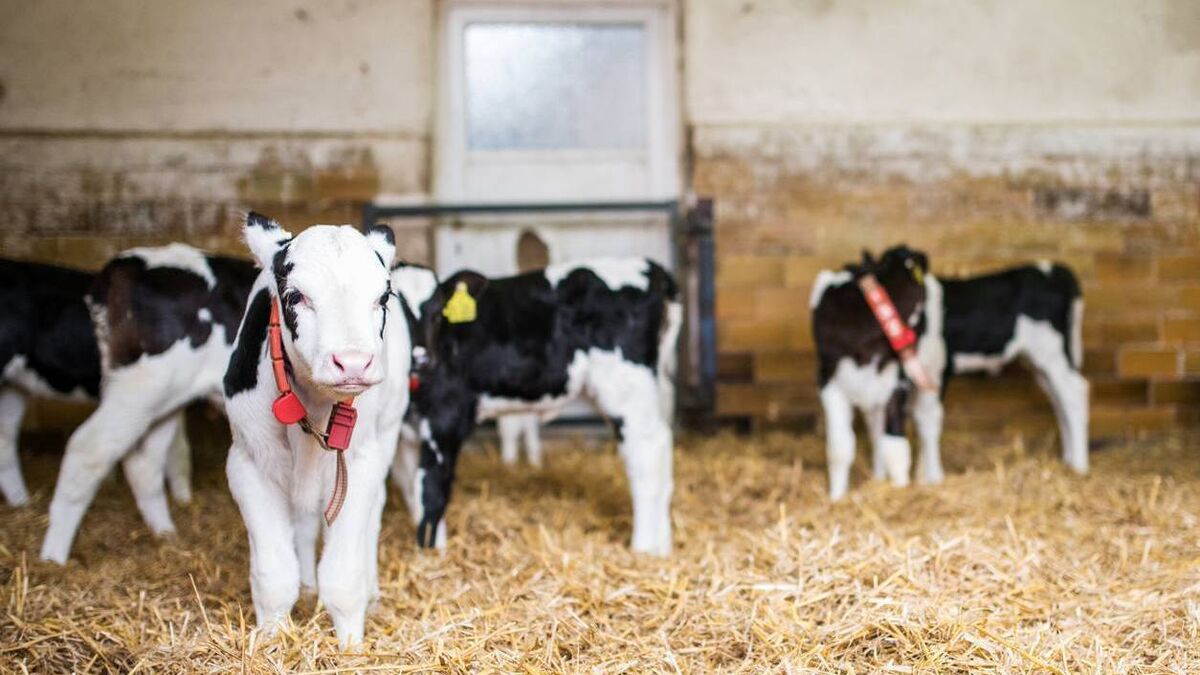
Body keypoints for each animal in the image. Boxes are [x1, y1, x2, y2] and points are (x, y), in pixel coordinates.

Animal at [40, 245, 257, 564]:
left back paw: (166, 536)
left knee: (144, 463)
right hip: (142, 387)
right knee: (88, 449)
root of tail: (126, 263)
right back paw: (53, 557)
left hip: (164, 401)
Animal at [222, 213, 409, 647]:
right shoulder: (247, 464)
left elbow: (342, 578)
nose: (353, 362)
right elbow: (275, 577)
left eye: (383, 297)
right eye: (294, 296)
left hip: (388, 431)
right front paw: (271, 642)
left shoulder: (359, 463)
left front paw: (351, 646)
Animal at [389, 258, 682, 556]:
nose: (423, 359)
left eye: (438, 312)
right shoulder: (405, 435)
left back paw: (643, 548)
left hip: (626, 389)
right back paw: (661, 547)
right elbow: (411, 488)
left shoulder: (447, 417)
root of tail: (650, 267)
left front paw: (432, 553)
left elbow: (432, 489)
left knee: (647, 453)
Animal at [811, 246, 932, 500]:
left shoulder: (898, 382)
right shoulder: (827, 379)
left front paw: (900, 489)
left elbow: (896, 447)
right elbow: (839, 448)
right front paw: (836, 497)